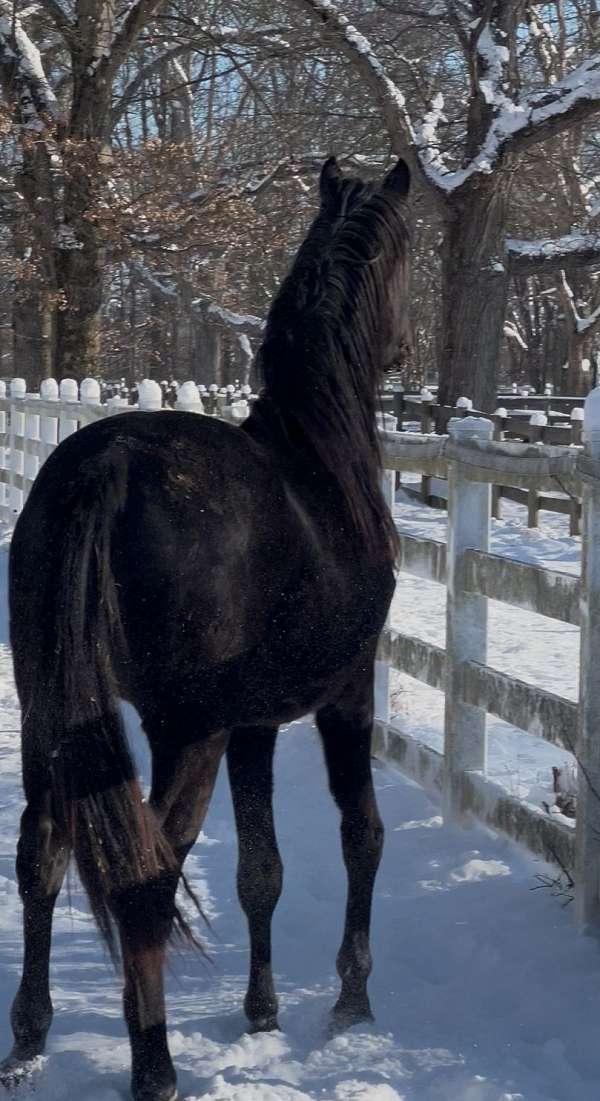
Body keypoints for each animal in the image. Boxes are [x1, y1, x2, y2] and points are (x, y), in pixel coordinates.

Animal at [0, 155, 411, 1101]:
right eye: (409, 260)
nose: (408, 349)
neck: (320, 462)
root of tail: (106, 467)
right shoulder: (345, 696)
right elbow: (361, 834)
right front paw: (352, 999)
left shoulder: (253, 722)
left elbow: (261, 868)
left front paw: (262, 1010)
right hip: (183, 730)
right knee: (147, 875)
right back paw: (154, 1064)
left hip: (53, 711)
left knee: (42, 852)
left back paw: (30, 1039)